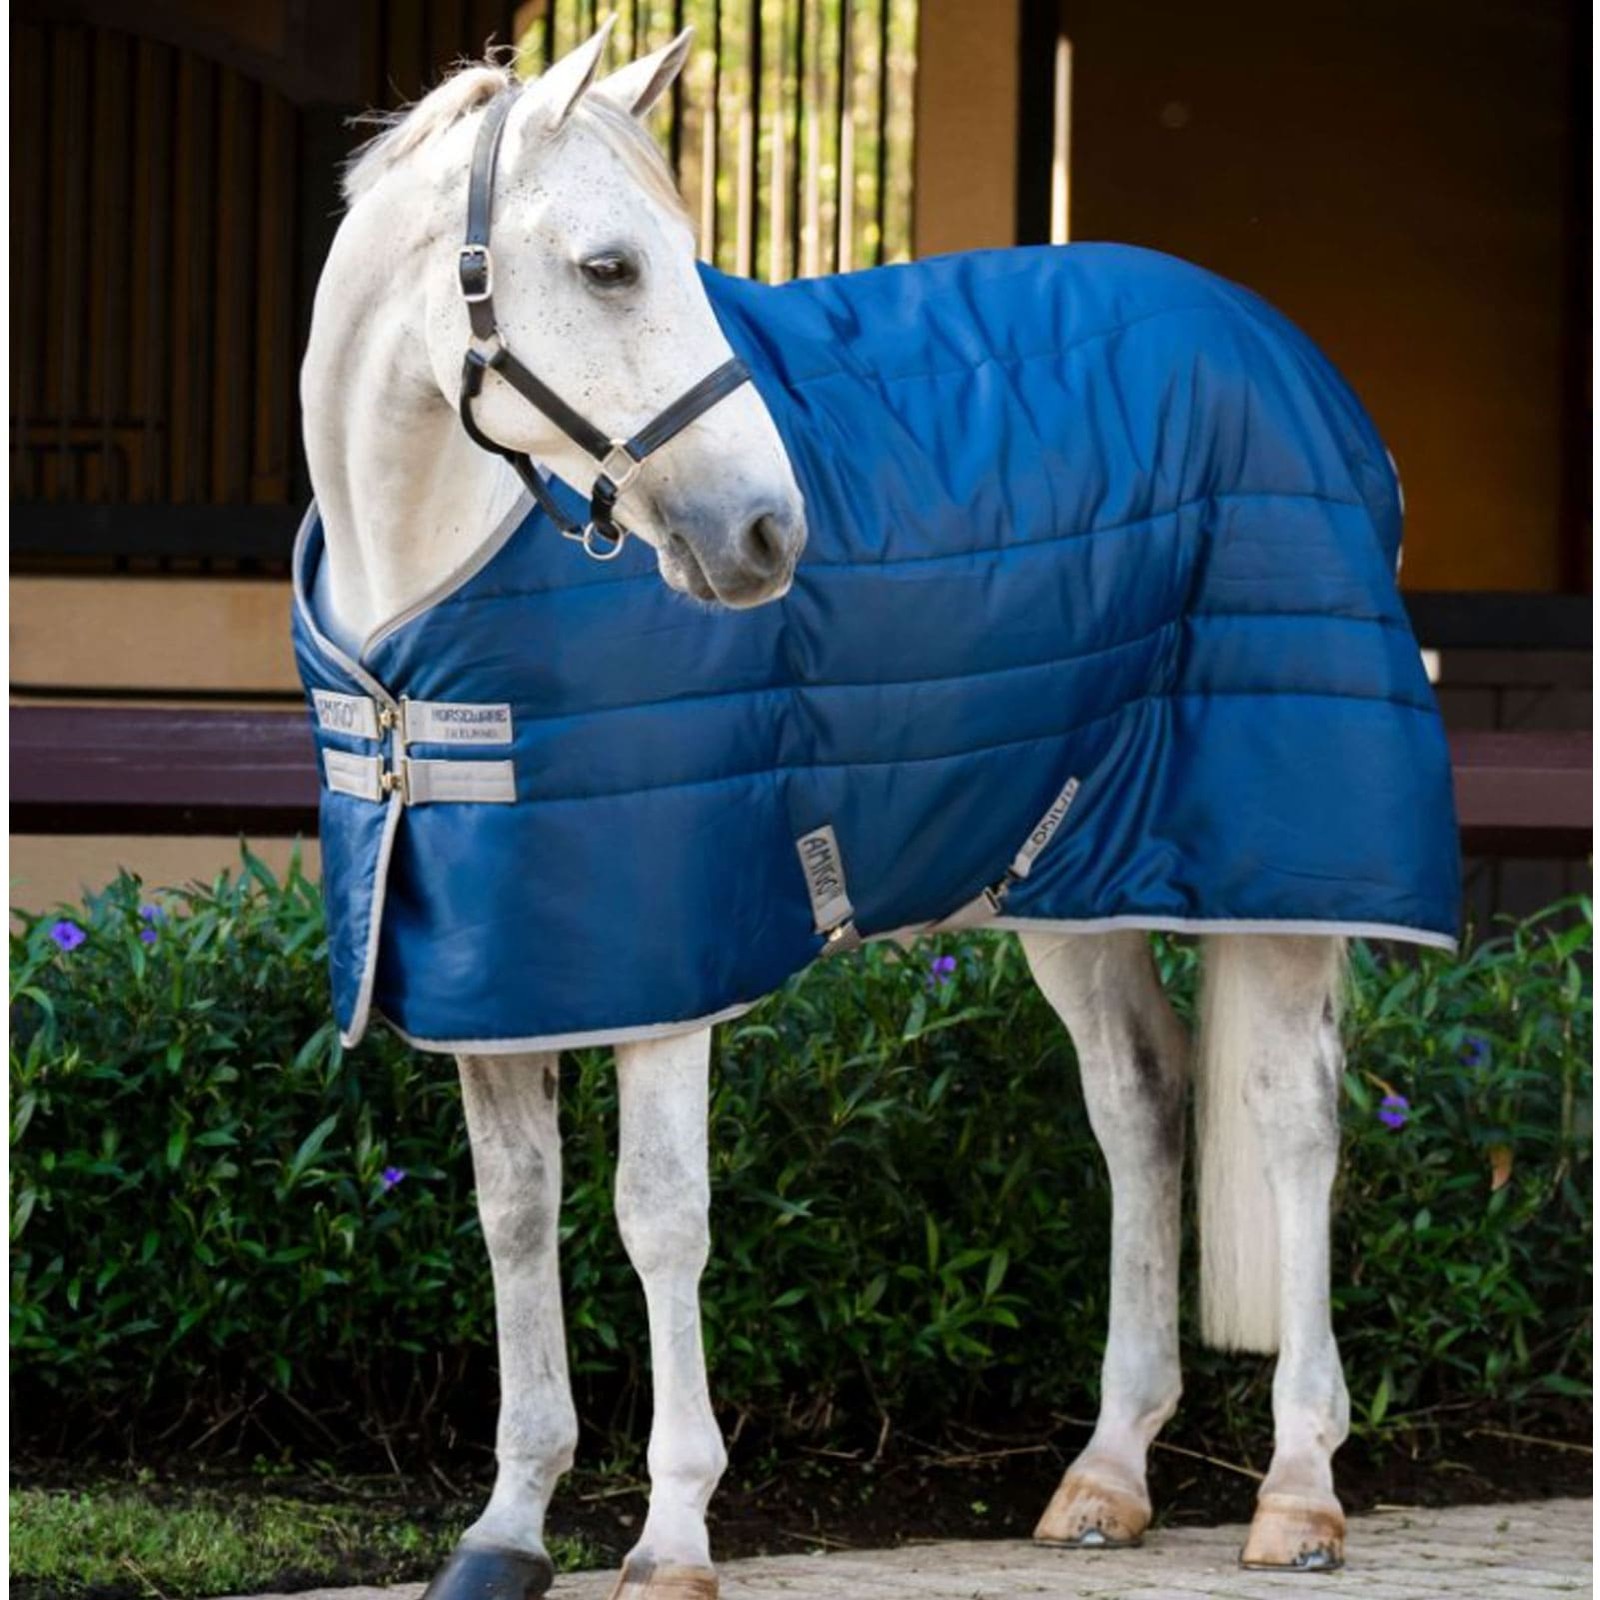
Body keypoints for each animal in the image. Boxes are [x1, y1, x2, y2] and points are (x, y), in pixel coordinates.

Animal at [299, 24, 1457, 1600]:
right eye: (609, 266)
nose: (766, 535)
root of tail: (1297, 367)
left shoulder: (669, 964)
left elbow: (658, 1215)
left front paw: (673, 1534)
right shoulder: (499, 971)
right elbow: (516, 1216)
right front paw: (507, 1526)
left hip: (1278, 867)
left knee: (1294, 1119)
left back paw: (1297, 1489)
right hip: (1070, 874)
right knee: (1141, 1099)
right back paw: (1107, 1473)